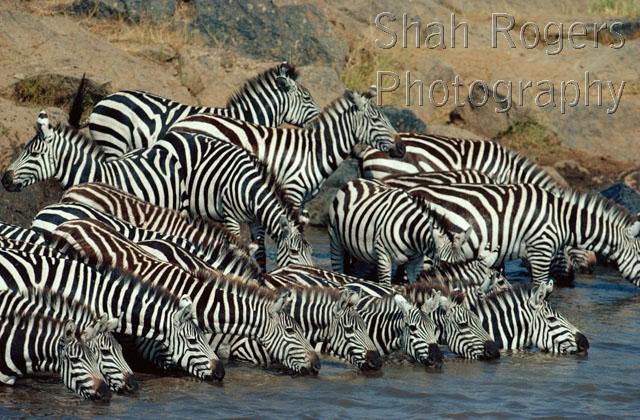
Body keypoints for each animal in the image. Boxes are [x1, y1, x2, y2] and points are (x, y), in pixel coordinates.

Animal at [328, 179, 469, 283]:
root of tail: (355, 180)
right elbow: (386, 286)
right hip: (335, 241)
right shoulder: (383, 255)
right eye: (445, 264)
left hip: (363, 253)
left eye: (464, 263)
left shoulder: (415, 263)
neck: (411, 234)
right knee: (338, 267)